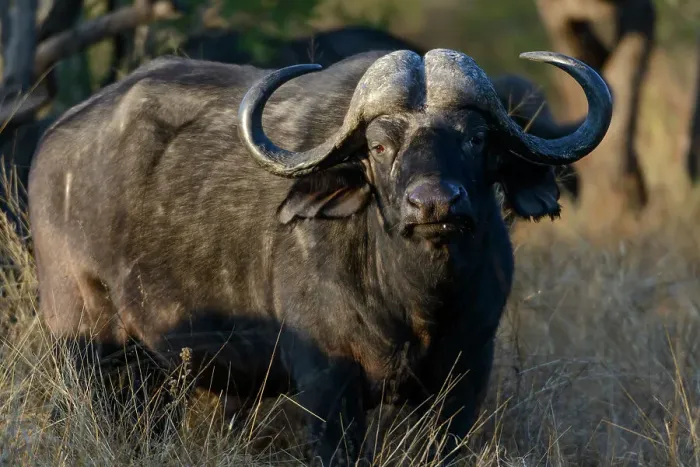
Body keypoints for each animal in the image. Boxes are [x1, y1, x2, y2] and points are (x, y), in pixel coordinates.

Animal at [28, 48, 612, 464]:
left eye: (475, 138)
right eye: (379, 146)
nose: (434, 203)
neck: (417, 305)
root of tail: (51, 144)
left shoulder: (465, 374)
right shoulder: (328, 384)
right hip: (87, 345)